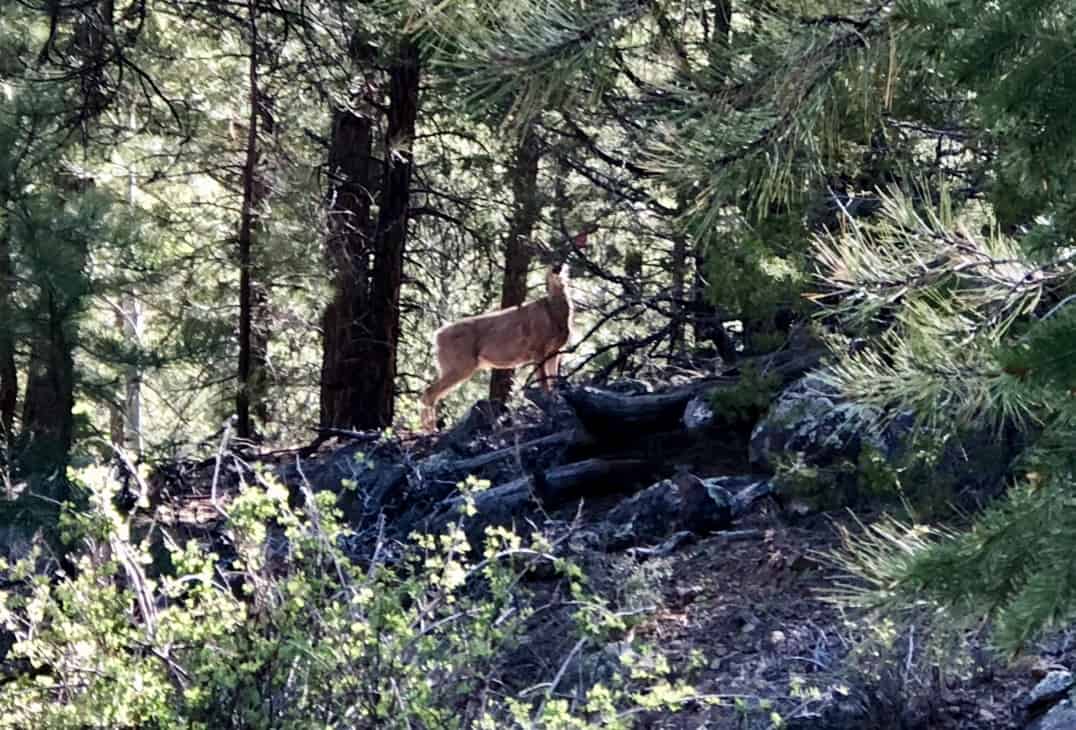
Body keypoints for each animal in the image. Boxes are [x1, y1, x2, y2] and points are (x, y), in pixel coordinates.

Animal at [420, 264, 575, 431]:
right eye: (551, 272)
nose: (557, 269)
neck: (554, 314)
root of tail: (436, 336)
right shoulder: (538, 348)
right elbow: (544, 381)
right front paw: (548, 404)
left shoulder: (554, 351)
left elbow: (553, 379)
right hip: (459, 364)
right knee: (429, 392)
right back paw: (431, 429)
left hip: (452, 365)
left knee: (430, 392)